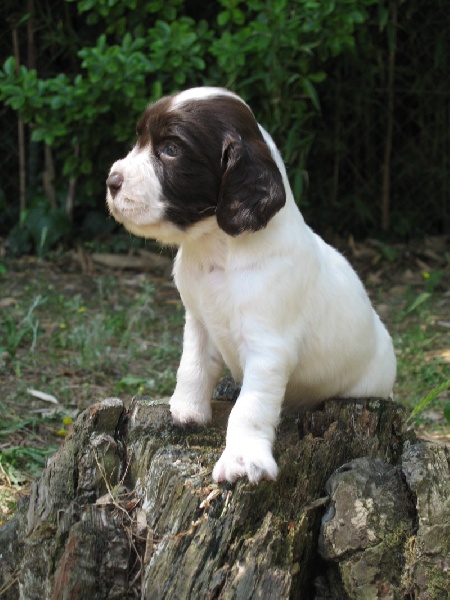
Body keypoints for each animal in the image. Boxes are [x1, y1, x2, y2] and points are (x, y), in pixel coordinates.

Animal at [106, 87, 396, 484]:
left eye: (171, 149)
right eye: (139, 140)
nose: (111, 181)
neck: (216, 250)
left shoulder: (268, 349)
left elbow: (250, 407)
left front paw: (243, 460)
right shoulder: (198, 320)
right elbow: (193, 364)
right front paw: (187, 409)